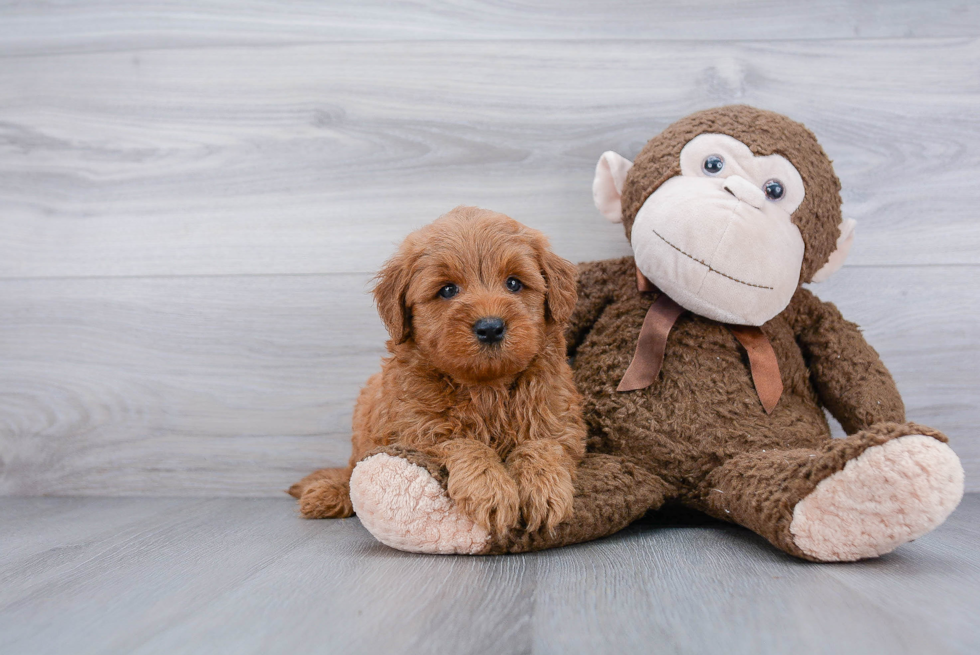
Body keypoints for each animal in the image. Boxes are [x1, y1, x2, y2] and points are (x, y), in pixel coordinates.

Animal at [288, 206, 584, 540]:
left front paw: (543, 487)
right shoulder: (415, 430)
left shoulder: (559, 421)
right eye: (447, 290)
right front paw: (490, 488)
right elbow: (463, 443)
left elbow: (542, 445)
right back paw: (328, 493)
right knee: (351, 469)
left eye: (513, 283)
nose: (490, 327)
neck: (486, 387)